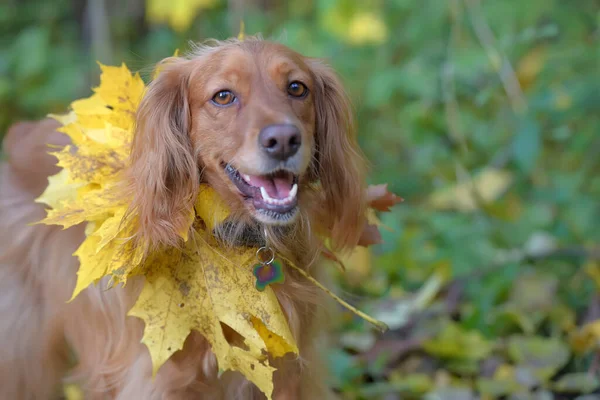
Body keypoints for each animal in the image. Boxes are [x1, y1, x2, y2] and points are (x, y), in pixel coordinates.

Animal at [0, 38, 368, 400]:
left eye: (297, 88)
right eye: (223, 96)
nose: (283, 141)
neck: (226, 235)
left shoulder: (292, 373)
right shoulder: (154, 376)